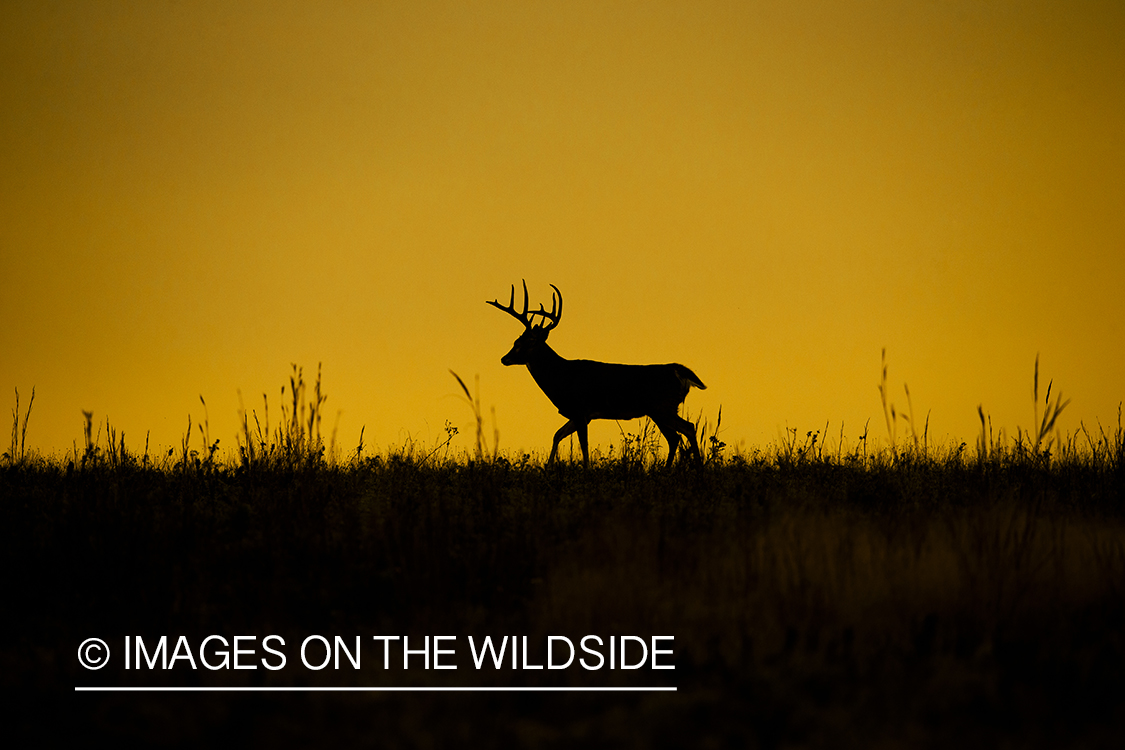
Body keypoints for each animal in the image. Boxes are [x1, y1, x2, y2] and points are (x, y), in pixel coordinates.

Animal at [488, 281, 706, 470]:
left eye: (522, 342)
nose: (504, 358)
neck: (561, 377)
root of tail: (679, 370)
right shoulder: (580, 414)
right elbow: (557, 435)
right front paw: (549, 469)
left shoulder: (580, 409)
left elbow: (583, 444)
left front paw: (586, 471)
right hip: (660, 410)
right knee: (676, 436)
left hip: (661, 406)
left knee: (687, 429)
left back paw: (696, 470)